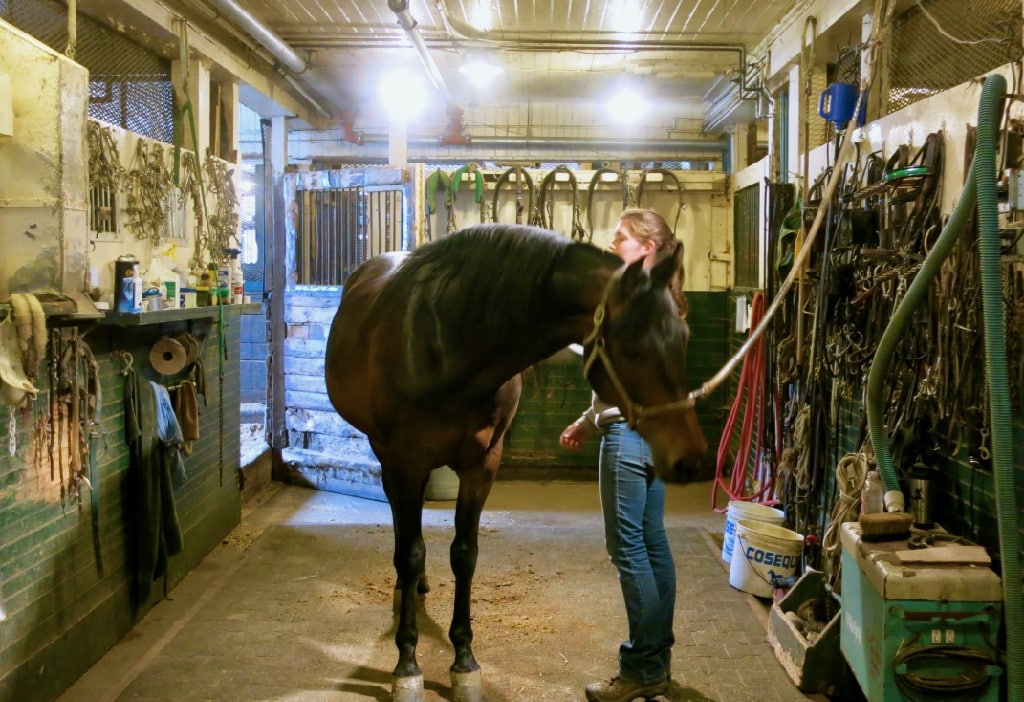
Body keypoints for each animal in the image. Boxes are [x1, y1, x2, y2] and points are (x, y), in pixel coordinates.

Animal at [325, 224, 704, 702]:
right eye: (633, 349)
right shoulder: (403, 461)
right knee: (405, 540)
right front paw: (407, 666)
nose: (690, 458)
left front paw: (464, 662)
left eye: (684, 339)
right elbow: (409, 553)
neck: (444, 344)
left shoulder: (483, 465)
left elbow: (464, 554)